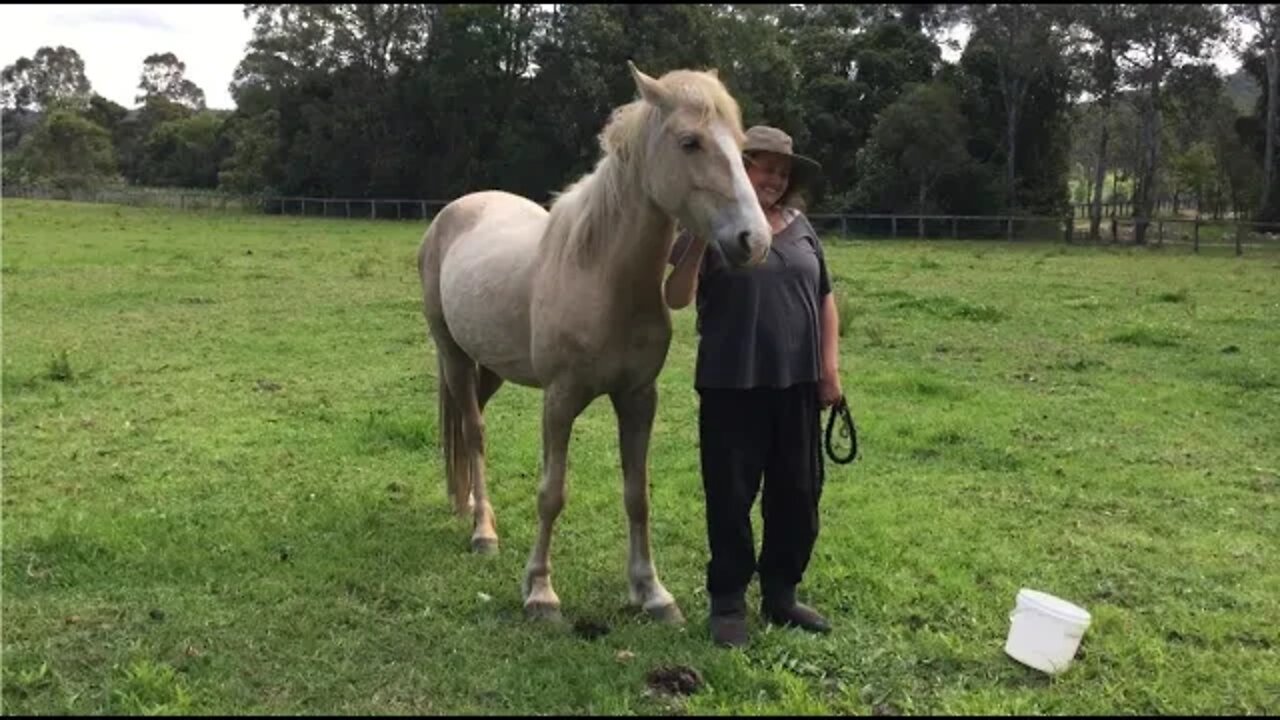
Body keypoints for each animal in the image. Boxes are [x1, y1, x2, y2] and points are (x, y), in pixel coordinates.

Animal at [417, 63, 768, 622]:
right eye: (689, 142)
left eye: (740, 146)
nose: (753, 241)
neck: (602, 276)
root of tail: (455, 212)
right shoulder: (560, 400)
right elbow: (551, 493)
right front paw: (540, 592)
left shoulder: (639, 399)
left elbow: (637, 495)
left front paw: (651, 592)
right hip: (452, 354)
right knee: (473, 431)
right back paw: (483, 530)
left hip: (488, 365)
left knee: (472, 423)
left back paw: (469, 505)